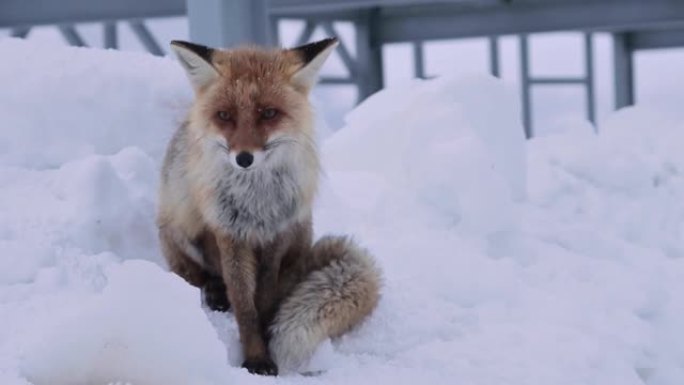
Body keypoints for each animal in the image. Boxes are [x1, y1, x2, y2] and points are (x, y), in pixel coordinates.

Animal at [158, 36, 382, 376]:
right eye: (224, 115)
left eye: (268, 113)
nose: (243, 158)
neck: (256, 202)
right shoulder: (230, 233)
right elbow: (243, 304)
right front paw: (254, 357)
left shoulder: (277, 233)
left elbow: (263, 298)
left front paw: (266, 342)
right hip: (181, 228)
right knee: (196, 274)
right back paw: (214, 291)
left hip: (301, 232)